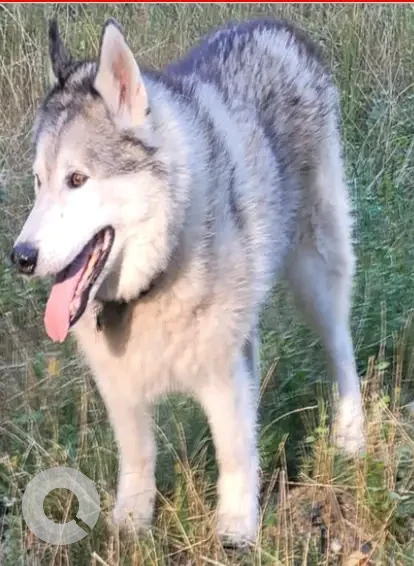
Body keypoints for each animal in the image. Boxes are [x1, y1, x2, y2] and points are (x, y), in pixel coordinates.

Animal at [11, 17, 365, 546]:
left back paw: (351, 433)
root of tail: (275, 25)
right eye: (38, 182)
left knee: (340, 347)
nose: (21, 257)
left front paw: (237, 527)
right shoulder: (119, 385)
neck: (155, 278)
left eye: (77, 179)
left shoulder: (220, 371)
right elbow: (138, 457)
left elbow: (233, 452)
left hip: (316, 272)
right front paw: (130, 523)